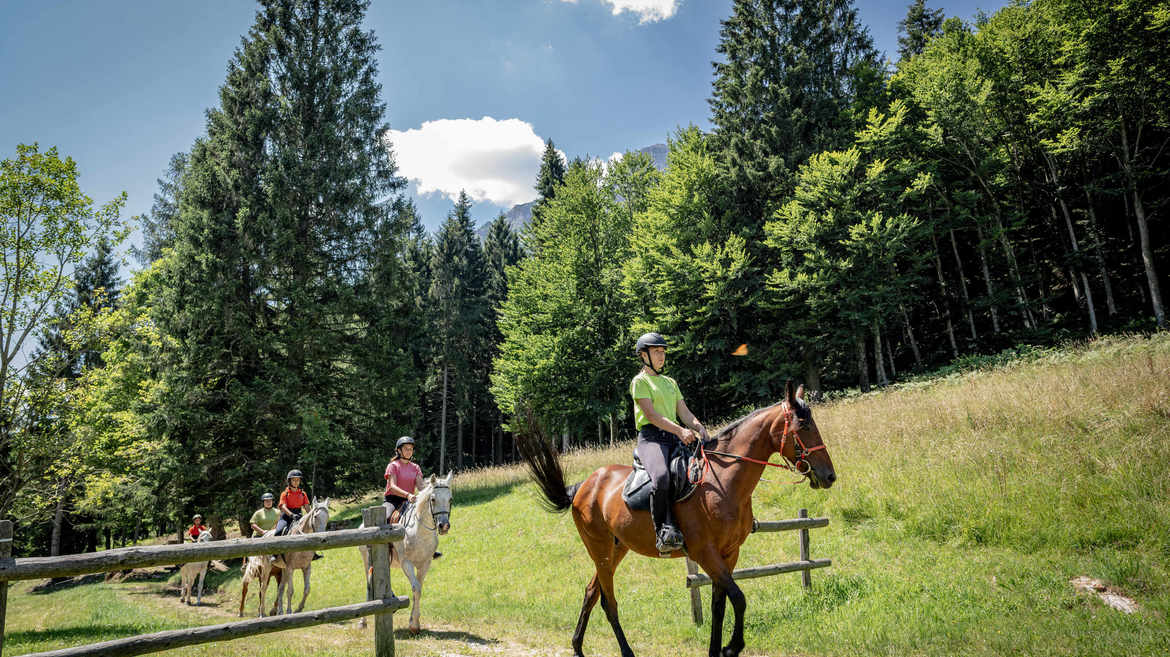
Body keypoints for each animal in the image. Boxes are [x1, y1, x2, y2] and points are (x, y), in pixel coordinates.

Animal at [358, 472, 449, 631]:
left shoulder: (425, 563)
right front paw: (413, 625)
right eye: (433, 499)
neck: (419, 532)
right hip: (367, 558)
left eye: (450, 499)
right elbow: (416, 588)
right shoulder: (406, 563)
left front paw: (415, 622)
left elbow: (418, 590)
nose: (444, 526)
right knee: (369, 582)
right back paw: (363, 621)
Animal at [519, 378, 833, 654]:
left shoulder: (729, 552)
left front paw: (716, 650)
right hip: (600, 550)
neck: (723, 482)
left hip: (616, 549)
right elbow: (739, 598)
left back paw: (577, 647)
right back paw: (626, 652)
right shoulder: (705, 552)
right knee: (609, 602)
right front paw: (732, 647)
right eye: (804, 426)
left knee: (591, 592)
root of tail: (584, 486)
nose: (829, 476)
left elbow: (719, 605)